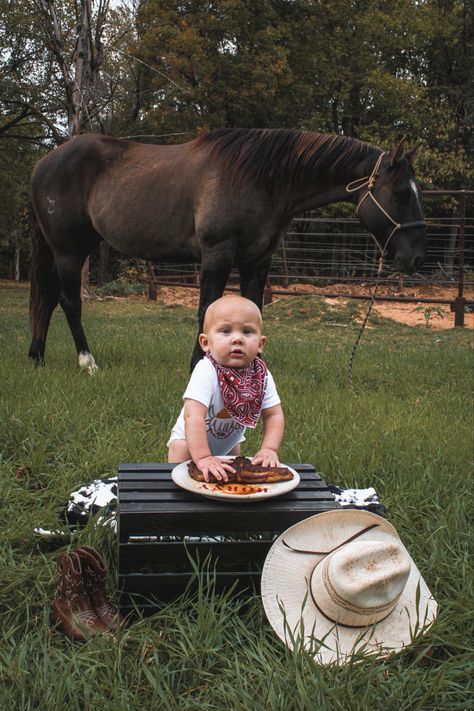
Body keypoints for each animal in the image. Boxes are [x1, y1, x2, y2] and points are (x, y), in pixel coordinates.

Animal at [28, 129, 426, 372]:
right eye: (401, 194)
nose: (415, 257)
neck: (261, 180)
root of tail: (44, 162)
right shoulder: (217, 255)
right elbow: (207, 310)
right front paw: (198, 367)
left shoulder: (258, 260)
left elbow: (254, 311)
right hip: (68, 250)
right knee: (69, 302)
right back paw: (87, 362)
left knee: (47, 299)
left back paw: (36, 356)